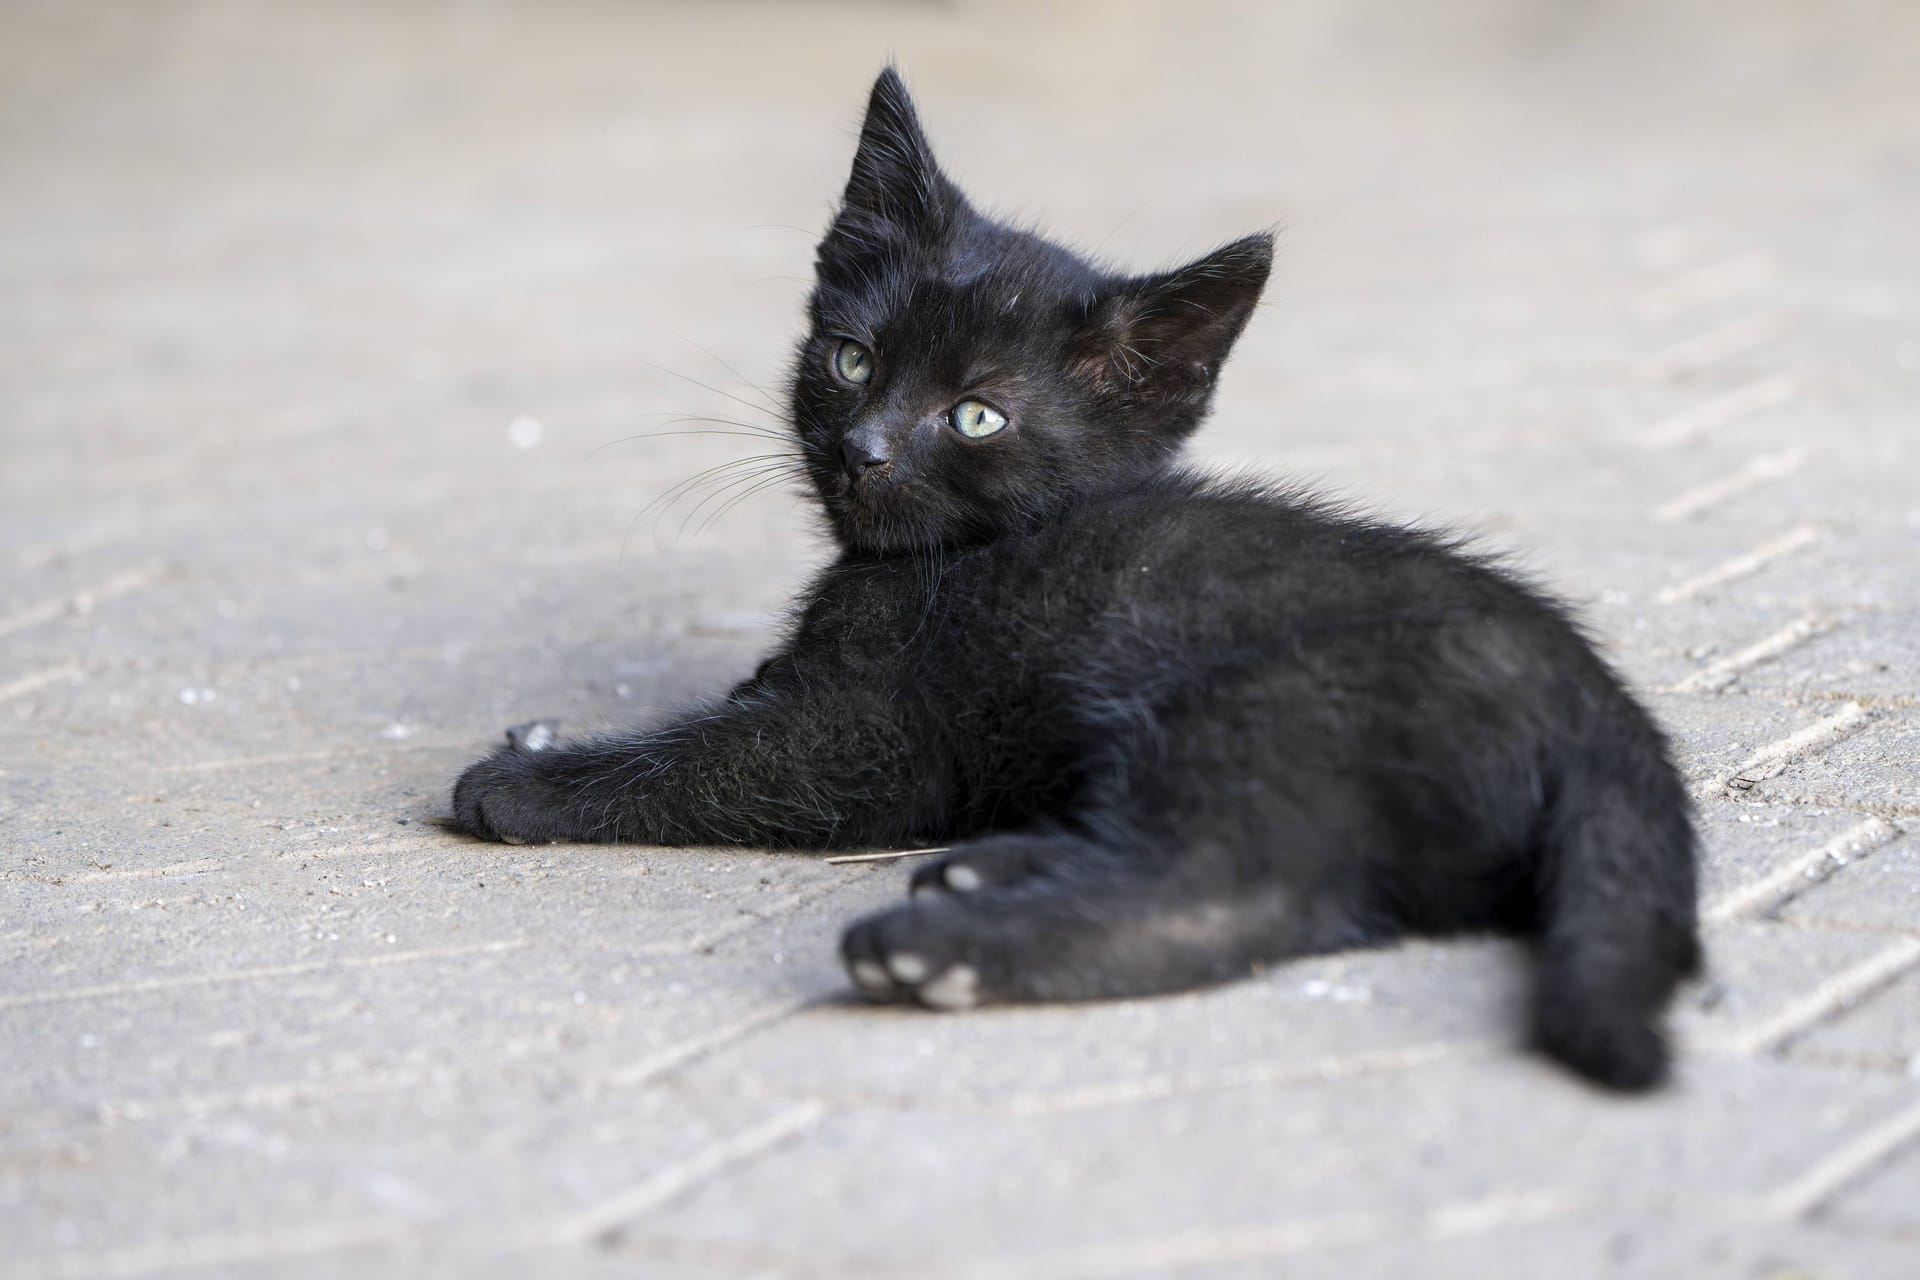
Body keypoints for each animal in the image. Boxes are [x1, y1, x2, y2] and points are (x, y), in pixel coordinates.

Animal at [456, 67, 1704, 1090]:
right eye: (851, 358)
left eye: (975, 415)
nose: (861, 449)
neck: (943, 557)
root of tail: (1605, 714)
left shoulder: (868, 741)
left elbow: (712, 759)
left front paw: (526, 778)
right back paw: (995, 869)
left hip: (1258, 708)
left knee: (1233, 892)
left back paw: (935, 953)